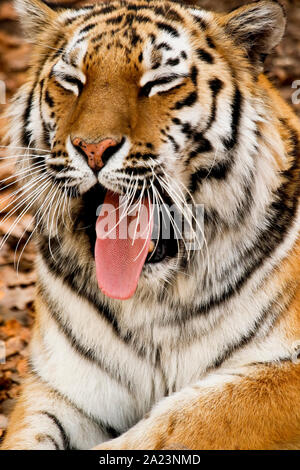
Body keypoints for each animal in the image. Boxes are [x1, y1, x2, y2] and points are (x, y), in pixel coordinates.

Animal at [0, 0, 300, 450]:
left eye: (158, 83)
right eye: (72, 81)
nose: (93, 148)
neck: (150, 302)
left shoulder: (280, 372)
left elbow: (181, 422)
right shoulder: (63, 389)